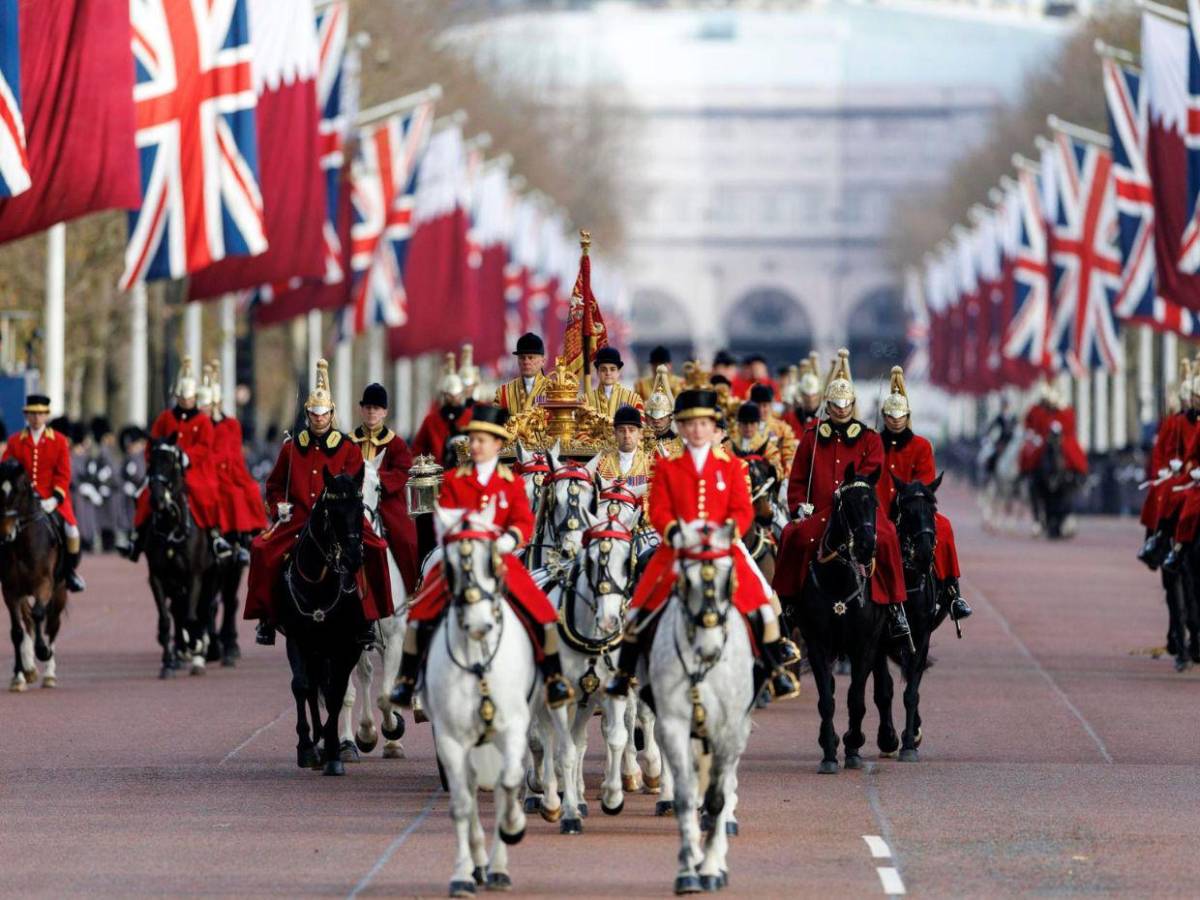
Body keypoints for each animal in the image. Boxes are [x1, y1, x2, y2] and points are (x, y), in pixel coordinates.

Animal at [0, 460, 68, 696]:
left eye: (20, 489)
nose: (5, 533)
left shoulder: (44, 585)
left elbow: (40, 615)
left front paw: (43, 651)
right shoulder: (10, 591)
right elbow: (17, 631)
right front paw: (18, 676)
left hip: (59, 592)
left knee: (52, 624)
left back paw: (49, 673)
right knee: (28, 619)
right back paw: (29, 668)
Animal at [144, 434, 222, 676]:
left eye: (172, 463)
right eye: (150, 462)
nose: (157, 500)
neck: (171, 526)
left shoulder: (194, 576)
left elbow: (191, 616)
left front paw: (195, 648)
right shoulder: (157, 577)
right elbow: (166, 619)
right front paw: (168, 662)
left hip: (211, 576)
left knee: (205, 610)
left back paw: (200, 653)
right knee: (178, 612)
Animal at [279, 468, 367, 777]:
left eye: (360, 509)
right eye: (333, 512)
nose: (353, 558)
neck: (318, 583)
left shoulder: (348, 647)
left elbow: (336, 694)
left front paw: (333, 752)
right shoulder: (296, 639)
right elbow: (302, 686)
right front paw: (307, 747)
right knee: (312, 686)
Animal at [777, 465, 892, 777]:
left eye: (874, 503)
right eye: (847, 504)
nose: (866, 547)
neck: (839, 580)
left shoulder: (865, 645)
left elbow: (856, 698)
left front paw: (853, 745)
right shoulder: (818, 643)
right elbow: (827, 700)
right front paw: (829, 752)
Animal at [868, 475, 950, 763]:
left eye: (933, 509)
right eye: (908, 511)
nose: (924, 553)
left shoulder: (922, 635)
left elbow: (911, 691)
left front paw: (909, 742)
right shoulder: (878, 642)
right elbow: (884, 690)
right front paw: (888, 738)